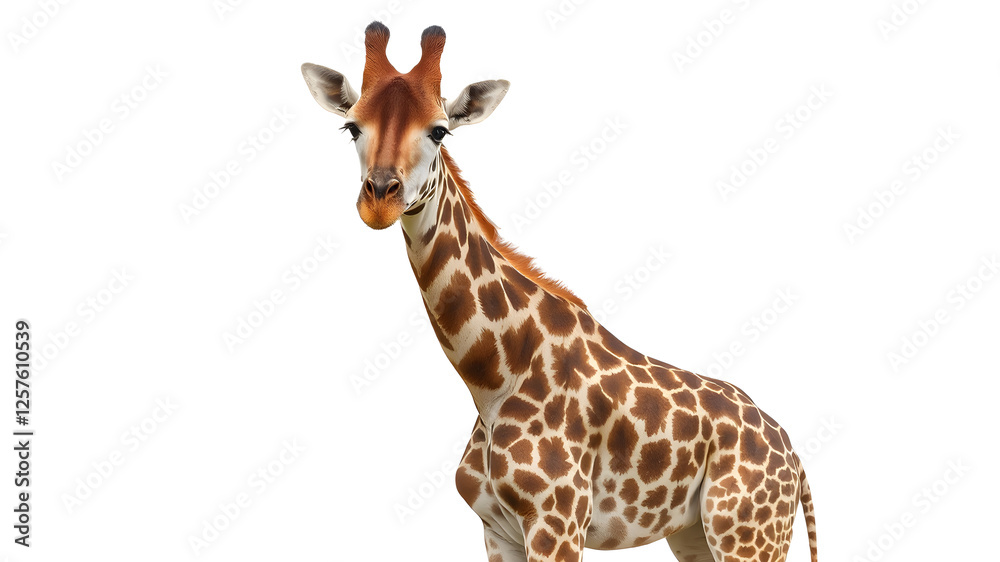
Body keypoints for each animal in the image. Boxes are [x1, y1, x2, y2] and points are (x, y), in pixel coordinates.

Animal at [301, 22, 818, 562]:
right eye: (351, 127)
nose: (380, 200)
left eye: (439, 130)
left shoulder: (558, 522)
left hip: (746, 533)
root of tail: (796, 459)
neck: (491, 379)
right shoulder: (497, 530)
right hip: (694, 532)